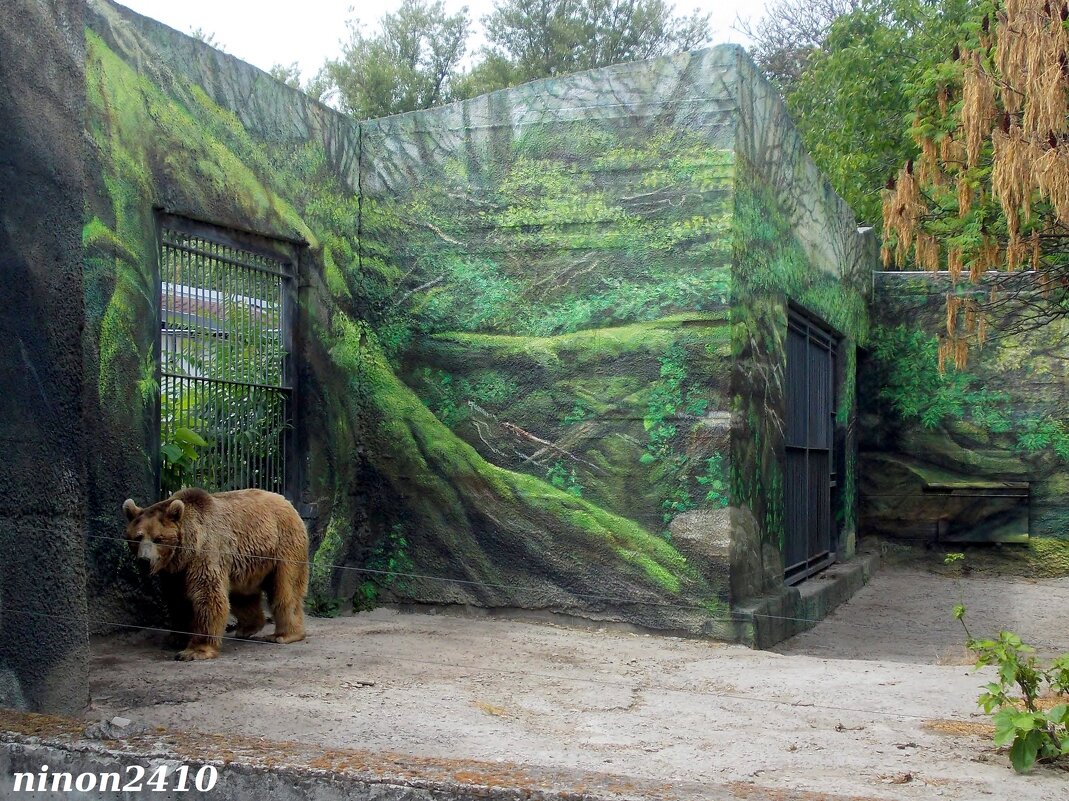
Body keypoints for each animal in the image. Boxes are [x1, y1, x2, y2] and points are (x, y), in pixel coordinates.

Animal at [125, 483, 312, 658]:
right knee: (242, 596)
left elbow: (208, 595)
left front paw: (195, 650)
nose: (144, 560)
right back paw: (248, 627)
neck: (184, 552)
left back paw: (285, 634)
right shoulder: (174, 573)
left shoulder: (206, 552)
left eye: (158, 539)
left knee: (286, 589)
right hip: (246, 563)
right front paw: (176, 637)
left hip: (283, 546)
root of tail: (287, 502)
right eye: (138, 537)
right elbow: (176, 599)